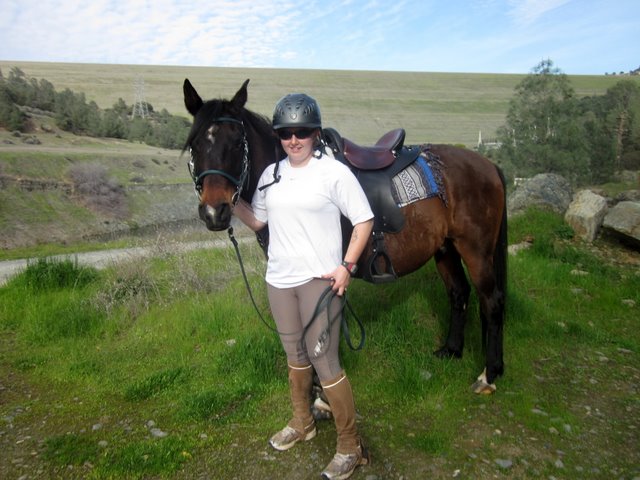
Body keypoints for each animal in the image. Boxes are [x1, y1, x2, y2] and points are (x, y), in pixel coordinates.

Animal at [182, 79, 508, 394]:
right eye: (194, 144)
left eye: (238, 143)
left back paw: (489, 374)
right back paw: (451, 350)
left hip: (475, 250)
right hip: (445, 248)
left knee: (490, 301)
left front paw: (322, 394)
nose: (214, 211)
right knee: (459, 293)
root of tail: (488, 164)